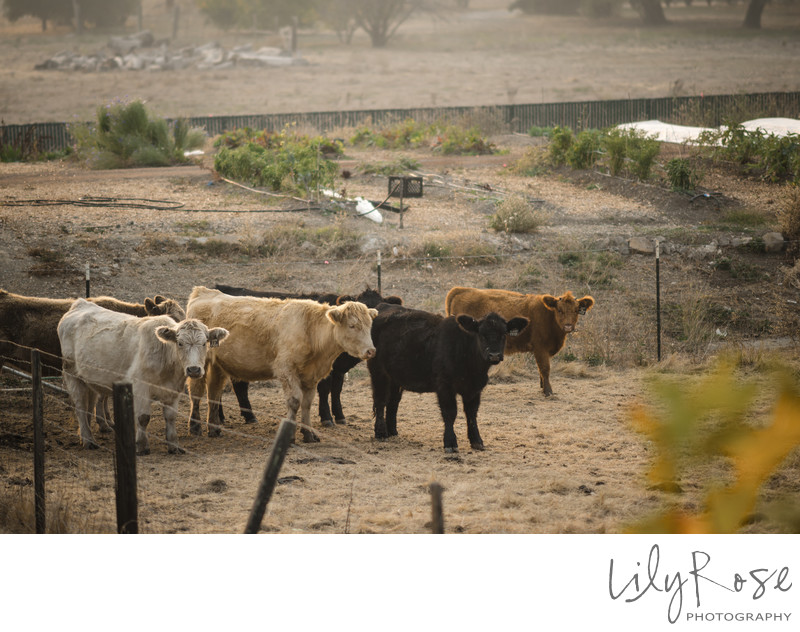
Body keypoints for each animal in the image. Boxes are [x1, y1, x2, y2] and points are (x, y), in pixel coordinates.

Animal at [58, 300, 228, 454]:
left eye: (204, 343)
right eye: (179, 343)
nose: (193, 369)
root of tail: (80, 304)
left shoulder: (174, 390)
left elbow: (171, 417)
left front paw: (174, 445)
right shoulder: (140, 388)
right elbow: (143, 417)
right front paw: (141, 445)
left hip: (89, 379)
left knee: (89, 405)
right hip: (71, 373)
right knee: (80, 406)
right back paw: (88, 440)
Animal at [184, 286, 378, 444]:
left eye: (370, 325)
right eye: (352, 325)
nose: (371, 351)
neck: (310, 330)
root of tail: (204, 292)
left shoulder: (311, 376)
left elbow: (307, 403)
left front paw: (309, 434)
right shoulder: (286, 370)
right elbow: (295, 401)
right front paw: (290, 436)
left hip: (218, 365)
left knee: (214, 392)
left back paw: (214, 428)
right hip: (199, 364)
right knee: (196, 392)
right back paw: (195, 427)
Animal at [214, 284, 404, 428]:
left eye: (372, 316)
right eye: (352, 324)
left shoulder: (338, 368)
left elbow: (337, 390)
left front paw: (340, 416)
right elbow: (325, 389)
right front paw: (327, 418)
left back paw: (242, 416)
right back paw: (227, 417)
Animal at [368, 304, 528, 452]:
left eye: (504, 334)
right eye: (481, 334)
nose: (494, 355)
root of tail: (383, 306)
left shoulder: (474, 389)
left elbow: (472, 413)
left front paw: (477, 441)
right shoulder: (445, 386)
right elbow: (450, 413)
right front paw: (450, 443)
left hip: (396, 377)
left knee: (393, 402)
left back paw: (392, 431)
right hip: (378, 372)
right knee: (380, 400)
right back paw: (381, 433)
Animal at [444, 286, 592, 396]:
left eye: (576, 310)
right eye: (559, 310)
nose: (568, 326)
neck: (548, 316)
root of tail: (461, 289)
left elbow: (541, 370)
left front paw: (542, 387)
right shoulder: (540, 348)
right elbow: (545, 368)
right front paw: (548, 391)